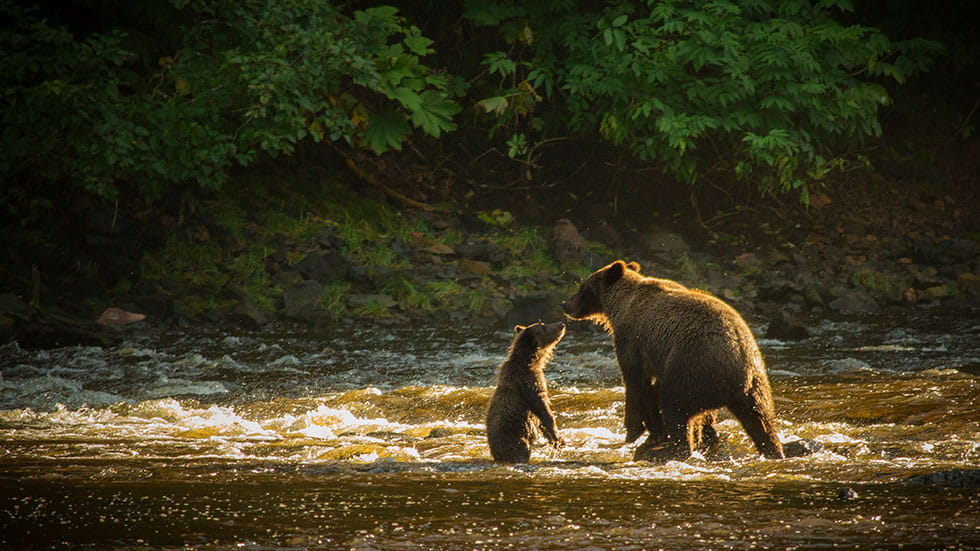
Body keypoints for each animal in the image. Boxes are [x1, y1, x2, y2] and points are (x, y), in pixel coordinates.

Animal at [486, 322, 566, 463]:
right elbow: (543, 409)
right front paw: (558, 439)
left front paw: (554, 440)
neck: (531, 361)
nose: (561, 324)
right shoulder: (528, 382)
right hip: (516, 437)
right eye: (544, 326)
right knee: (522, 449)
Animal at [562, 260, 784, 462]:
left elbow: (635, 383)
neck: (620, 306)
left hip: (692, 367)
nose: (565, 304)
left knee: (674, 404)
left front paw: (634, 431)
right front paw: (652, 432)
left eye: (583, 288)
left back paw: (663, 451)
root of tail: (738, 373)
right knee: (761, 420)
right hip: (755, 385)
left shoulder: (632, 340)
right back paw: (772, 450)